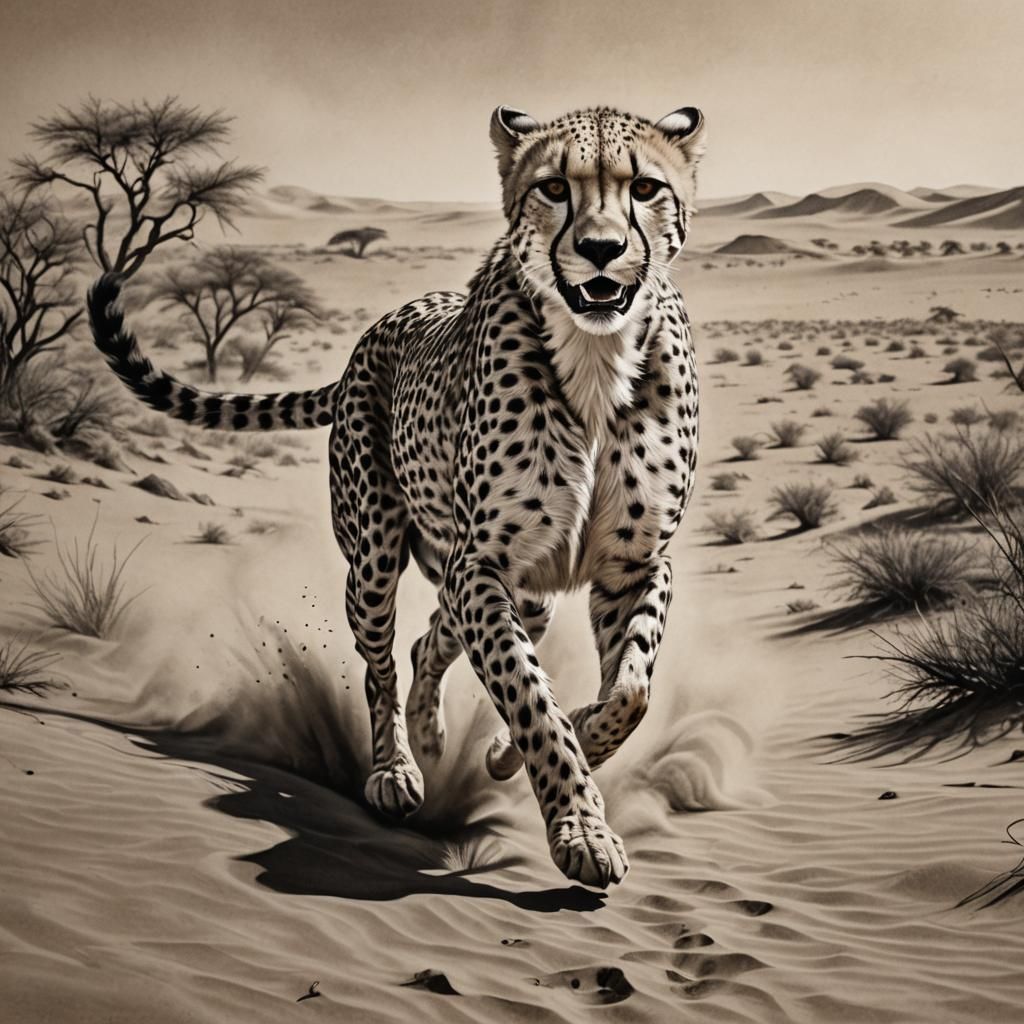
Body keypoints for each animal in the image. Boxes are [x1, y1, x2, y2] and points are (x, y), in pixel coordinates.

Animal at [87, 103, 706, 889]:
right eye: (554, 188)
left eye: (646, 187)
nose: (601, 249)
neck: (596, 353)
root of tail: (374, 331)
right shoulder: (483, 566)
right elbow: (532, 696)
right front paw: (578, 823)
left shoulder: (631, 564)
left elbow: (627, 693)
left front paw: (531, 753)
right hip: (378, 558)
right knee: (382, 664)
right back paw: (395, 769)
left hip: (517, 587)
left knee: (429, 640)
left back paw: (436, 733)